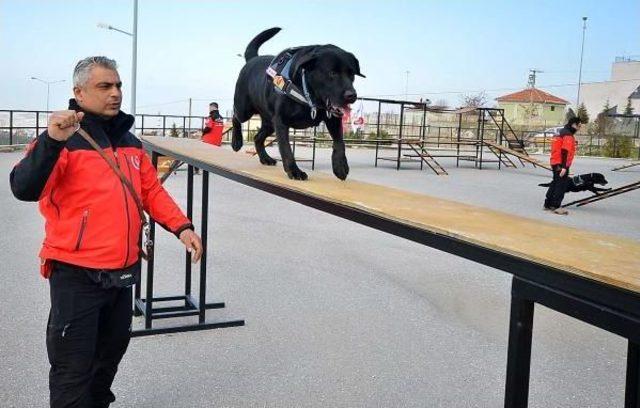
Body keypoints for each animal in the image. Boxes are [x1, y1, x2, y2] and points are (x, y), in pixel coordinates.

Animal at [231, 25, 364, 178]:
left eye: (351, 74)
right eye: (332, 73)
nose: (352, 95)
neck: (308, 94)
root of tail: (253, 59)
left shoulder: (333, 119)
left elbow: (339, 142)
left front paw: (340, 166)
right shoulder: (281, 121)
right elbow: (286, 148)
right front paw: (294, 171)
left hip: (270, 122)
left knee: (257, 137)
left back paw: (265, 158)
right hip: (245, 109)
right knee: (235, 117)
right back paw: (236, 141)